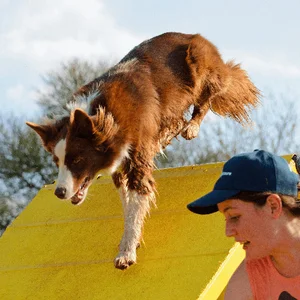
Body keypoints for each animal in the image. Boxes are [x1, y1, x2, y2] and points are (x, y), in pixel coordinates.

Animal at [26, 32, 260, 270]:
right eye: (57, 162)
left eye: (77, 159)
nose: (59, 192)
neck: (105, 116)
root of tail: (192, 35)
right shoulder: (120, 166)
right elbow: (128, 202)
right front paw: (131, 240)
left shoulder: (137, 157)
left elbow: (137, 199)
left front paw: (126, 252)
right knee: (177, 120)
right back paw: (166, 136)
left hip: (201, 64)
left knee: (205, 98)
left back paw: (191, 127)